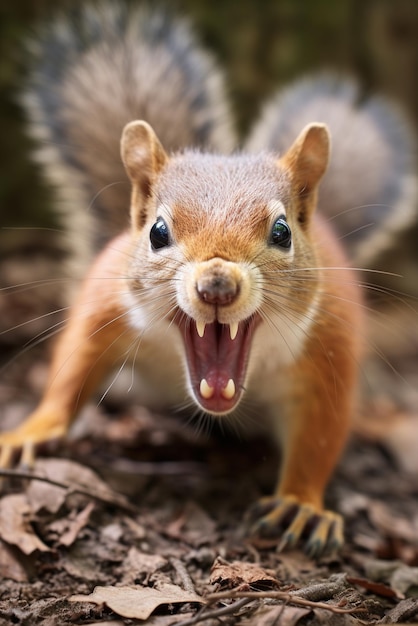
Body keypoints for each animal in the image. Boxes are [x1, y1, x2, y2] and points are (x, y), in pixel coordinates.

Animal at [0, 2, 416, 552]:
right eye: (156, 232)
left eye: (282, 231)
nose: (216, 283)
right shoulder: (104, 303)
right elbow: (72, 370)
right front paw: (31, 430)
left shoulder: (330, 345)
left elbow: (320, 433)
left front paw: (302, 504)